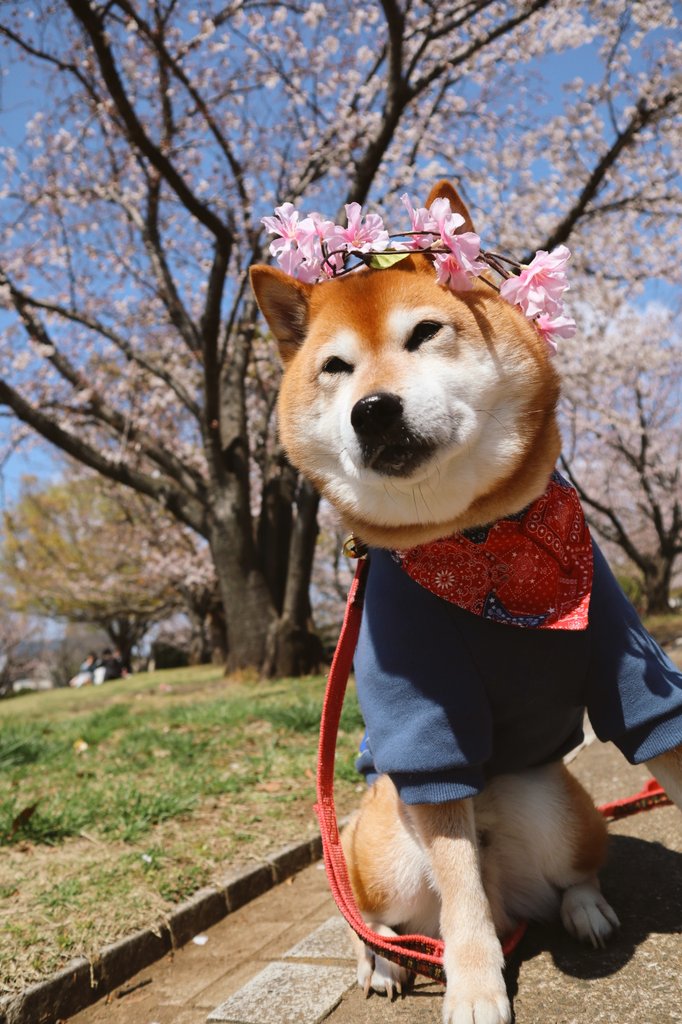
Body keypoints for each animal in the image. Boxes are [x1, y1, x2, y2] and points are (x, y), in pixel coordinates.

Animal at [251, 184, 679, 1024]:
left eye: (424, 333)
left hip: (559, 803)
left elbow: (660, 739)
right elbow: (462, 901)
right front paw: (476, 985)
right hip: (381, 835)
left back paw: (584, 909)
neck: (476, 542)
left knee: (571, 874)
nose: (373, 409)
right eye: (336, 368)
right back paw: (385, 958)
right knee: (384, 909)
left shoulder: (629, 668)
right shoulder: (427, 732)